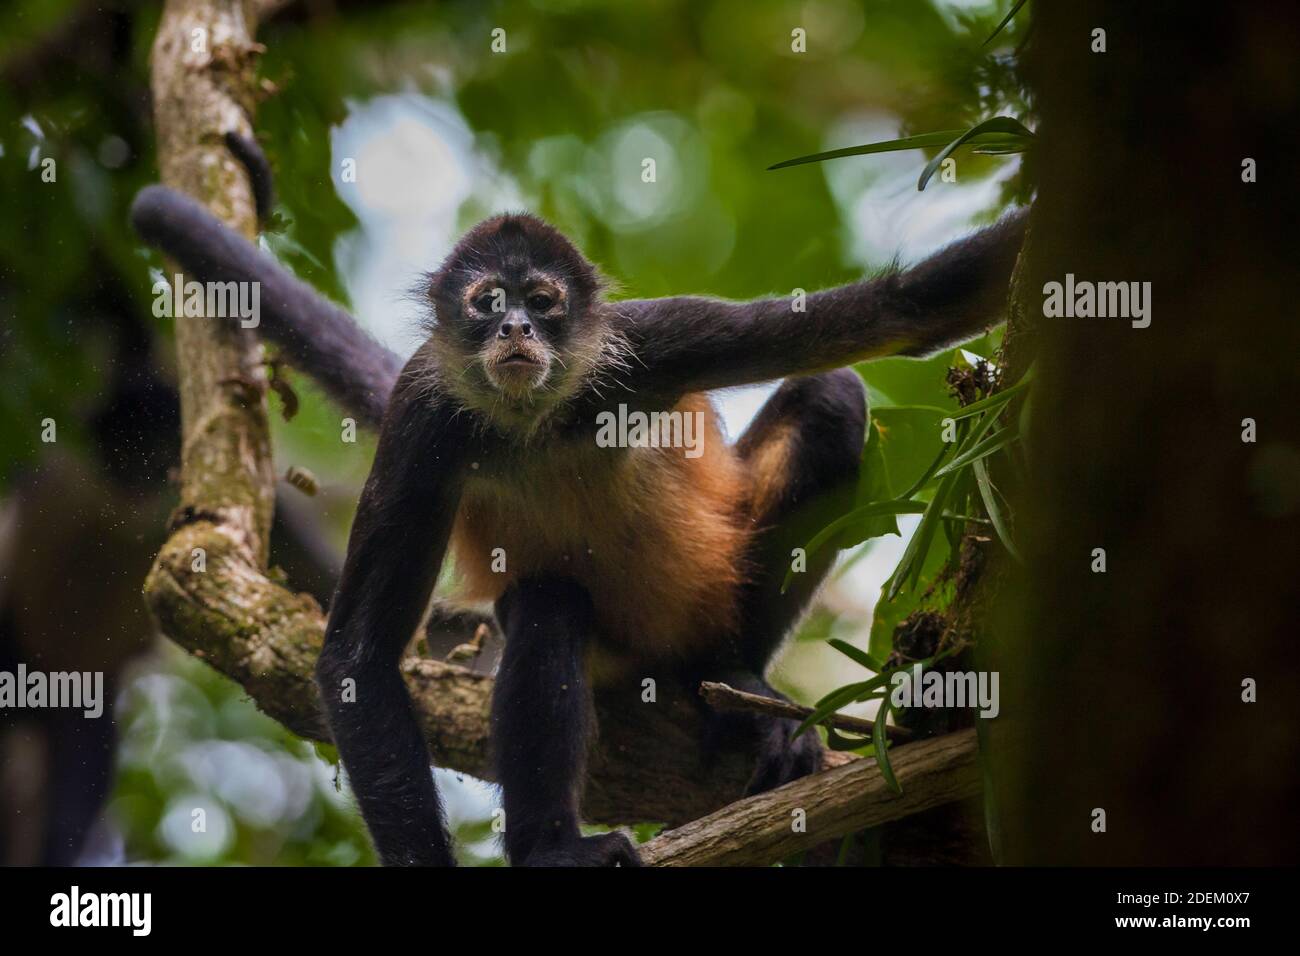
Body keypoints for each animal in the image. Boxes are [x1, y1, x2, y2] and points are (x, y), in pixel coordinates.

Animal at [129, 155, 1024, 868]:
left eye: (543, 300)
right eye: (488, 301)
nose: (517, 328)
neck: (537, 420)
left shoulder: (656, 340)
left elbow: (908, 310)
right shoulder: (423, 412)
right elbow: (357, 660)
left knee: (833, 395)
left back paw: (731, 677)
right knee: (549, 604)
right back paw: (552, 847)